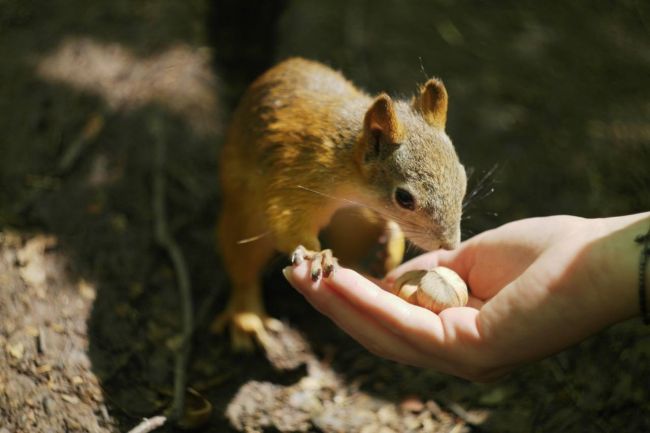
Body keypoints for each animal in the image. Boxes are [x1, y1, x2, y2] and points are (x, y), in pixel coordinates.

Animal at [213, 57, 466, 352]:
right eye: (404, 198)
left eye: (463, 176)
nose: (450, 245)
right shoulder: (296, 175)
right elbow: (286, 219)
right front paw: (316, 255)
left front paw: (393, 244)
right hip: (245, 217)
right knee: (244, 268)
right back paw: (245, 316)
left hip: (356, 222)